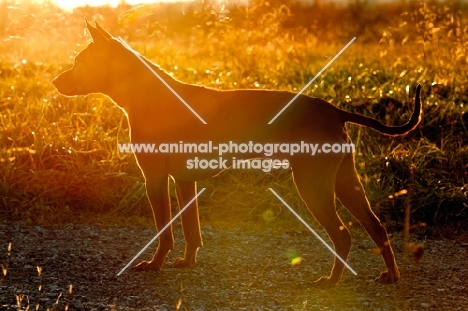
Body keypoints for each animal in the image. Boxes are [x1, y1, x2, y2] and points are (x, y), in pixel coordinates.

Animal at [53, 21, 422, 288]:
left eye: (79, 62)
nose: (55, 81)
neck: (148, 93)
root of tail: (330, 109)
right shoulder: (184, 181)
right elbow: (191, 230)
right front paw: (187, 262)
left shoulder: (154, 180)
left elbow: (165, 232)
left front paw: (155, 265)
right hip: (344, 182)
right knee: (377, 227)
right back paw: (391, 276)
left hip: (312, 185)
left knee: (343, 235)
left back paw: (331, 282)